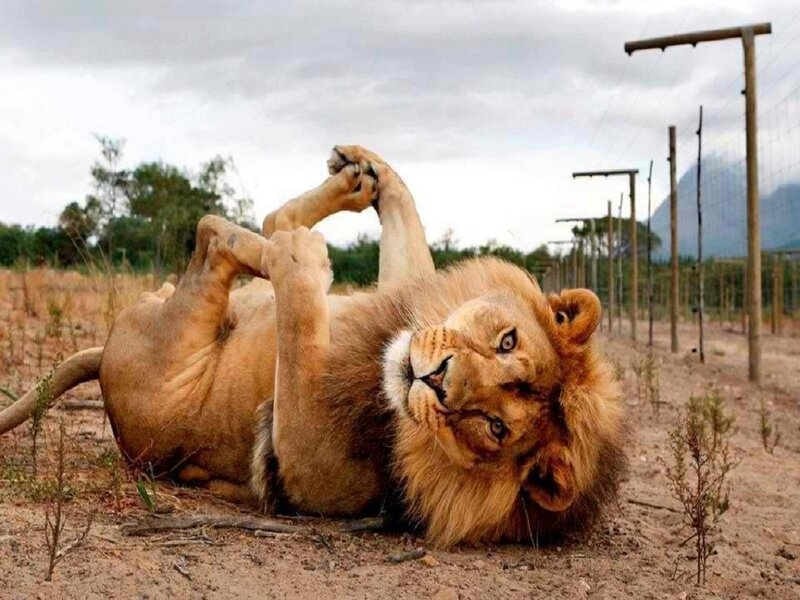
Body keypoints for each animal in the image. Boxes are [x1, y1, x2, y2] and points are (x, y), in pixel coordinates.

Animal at [0, 145, 626, 547]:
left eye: (496, 428)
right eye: (506, 340)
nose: (437, 378)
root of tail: (103, 360)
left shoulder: (299, 462)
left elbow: (299, 316)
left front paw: (303, 257)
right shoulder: (400, 299)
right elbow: (406, 245)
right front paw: (371, 175)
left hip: (177, 339)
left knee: (215, 235)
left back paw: (285, 241)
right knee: (258, 226)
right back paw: (350, 182)